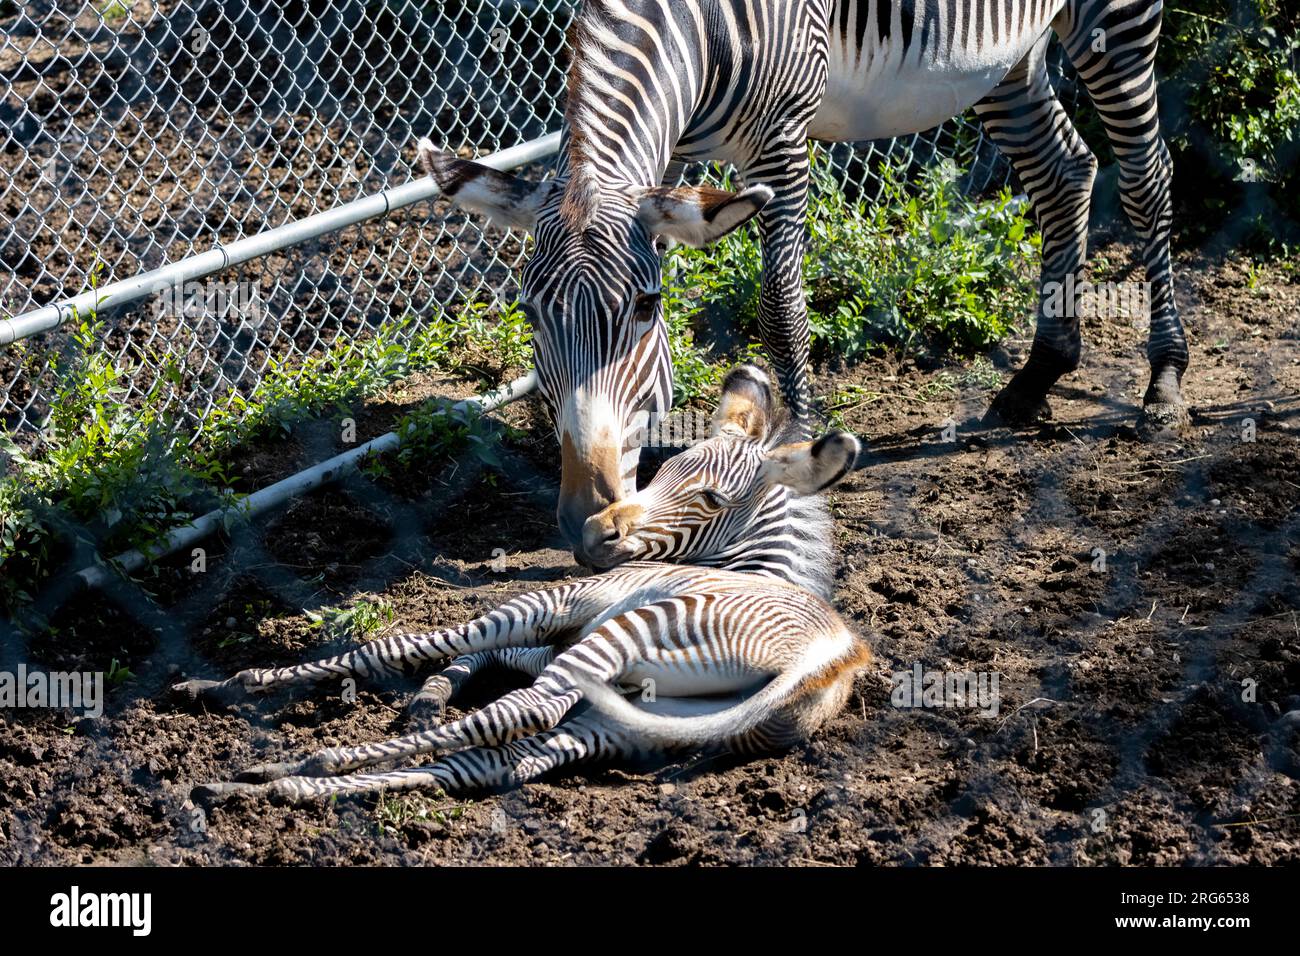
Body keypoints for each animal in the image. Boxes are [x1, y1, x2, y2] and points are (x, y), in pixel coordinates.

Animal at [180, 369, 873, 806]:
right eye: (665, 468)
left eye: (710, 498)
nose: (593, 532)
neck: (756, 569)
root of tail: (824, 661)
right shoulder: (573, 648)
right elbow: (477, 667)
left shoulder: (558, 603)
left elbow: (399, 647)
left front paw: (227, 684)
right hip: (647, 722)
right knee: (488, 760)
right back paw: (271, 783)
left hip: (632, 638)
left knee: (521, 714)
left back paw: (301, 764)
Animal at [421, 0, 1185, 556]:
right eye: (529, 314)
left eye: (644, 306)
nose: (586, 511)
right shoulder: (670, 153)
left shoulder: (782, 142)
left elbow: (779, 307)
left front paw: (795, 438)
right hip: (1008, 56)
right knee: (1066, 172)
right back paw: (1039, 373)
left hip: (1115, 20)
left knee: (1148, 180)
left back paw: (1164, 380)